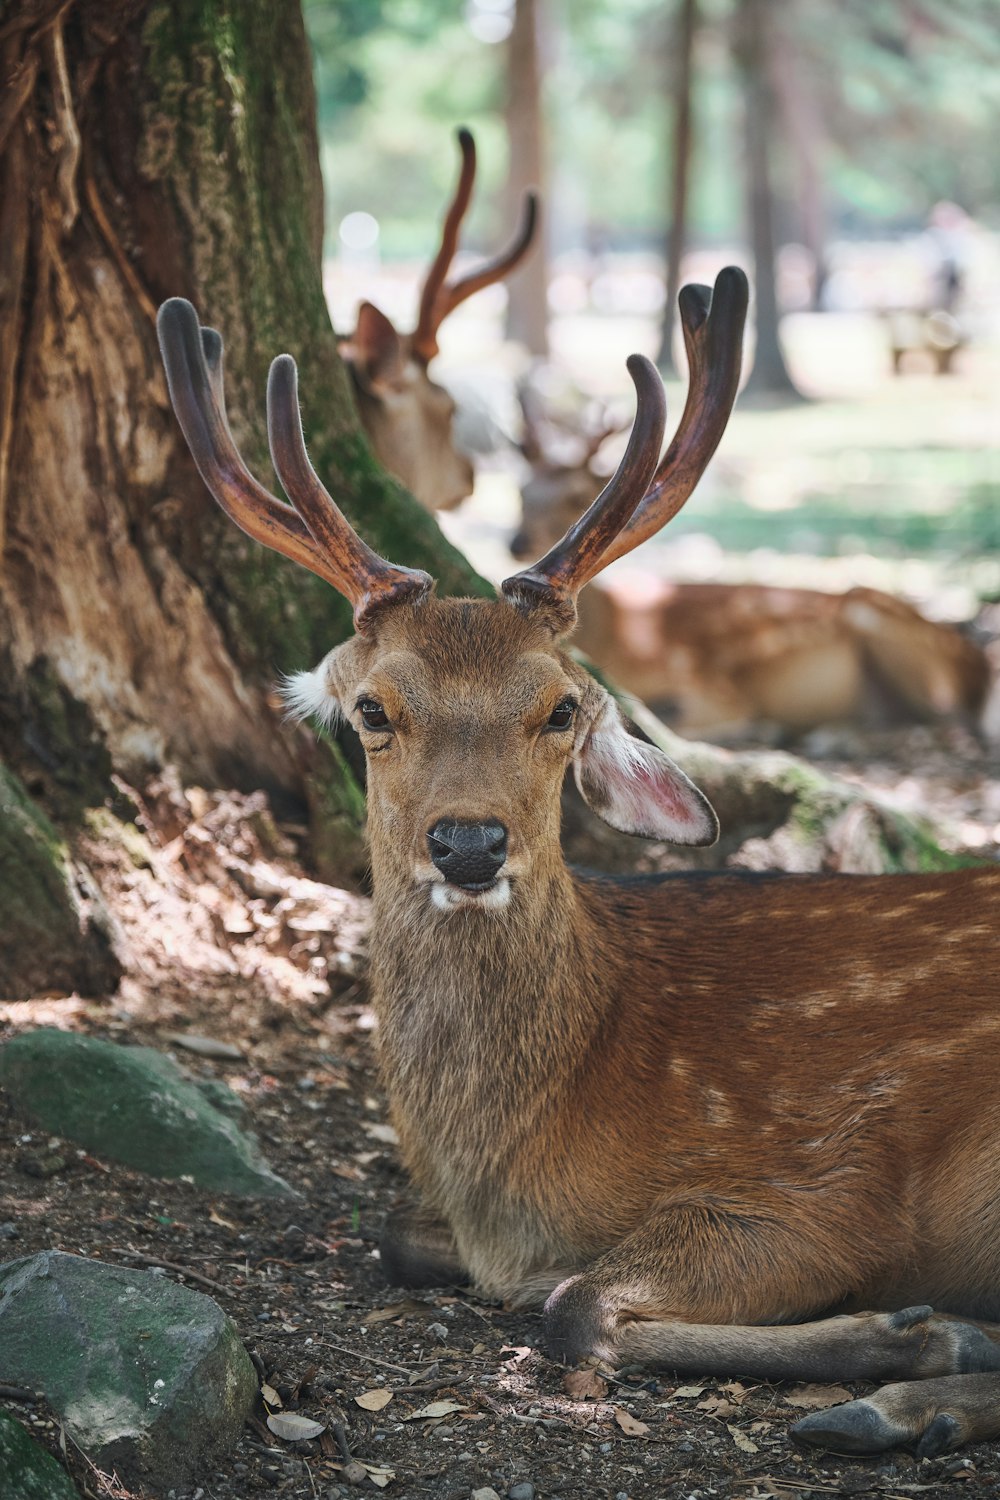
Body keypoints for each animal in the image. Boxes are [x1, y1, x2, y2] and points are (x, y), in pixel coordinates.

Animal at [515, 369, 995, 738]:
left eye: (576, 496)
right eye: (522, 490)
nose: (517, 540)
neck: (620, 632)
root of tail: (977, 662)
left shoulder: (703, 679)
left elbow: (715, 716)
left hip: (901, 644)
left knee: (948, 720)